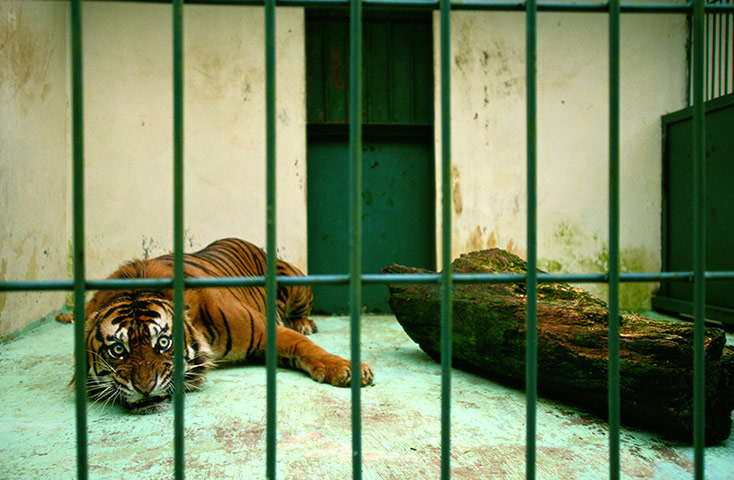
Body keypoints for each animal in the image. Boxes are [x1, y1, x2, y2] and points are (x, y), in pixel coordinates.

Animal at [58, 238, 374, 414]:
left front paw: (347, 369)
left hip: (298, 283)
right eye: (117, 350)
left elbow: (306, 347)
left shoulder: (267, 331)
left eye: (163, 342)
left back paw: (304, 322)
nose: (145, 387)